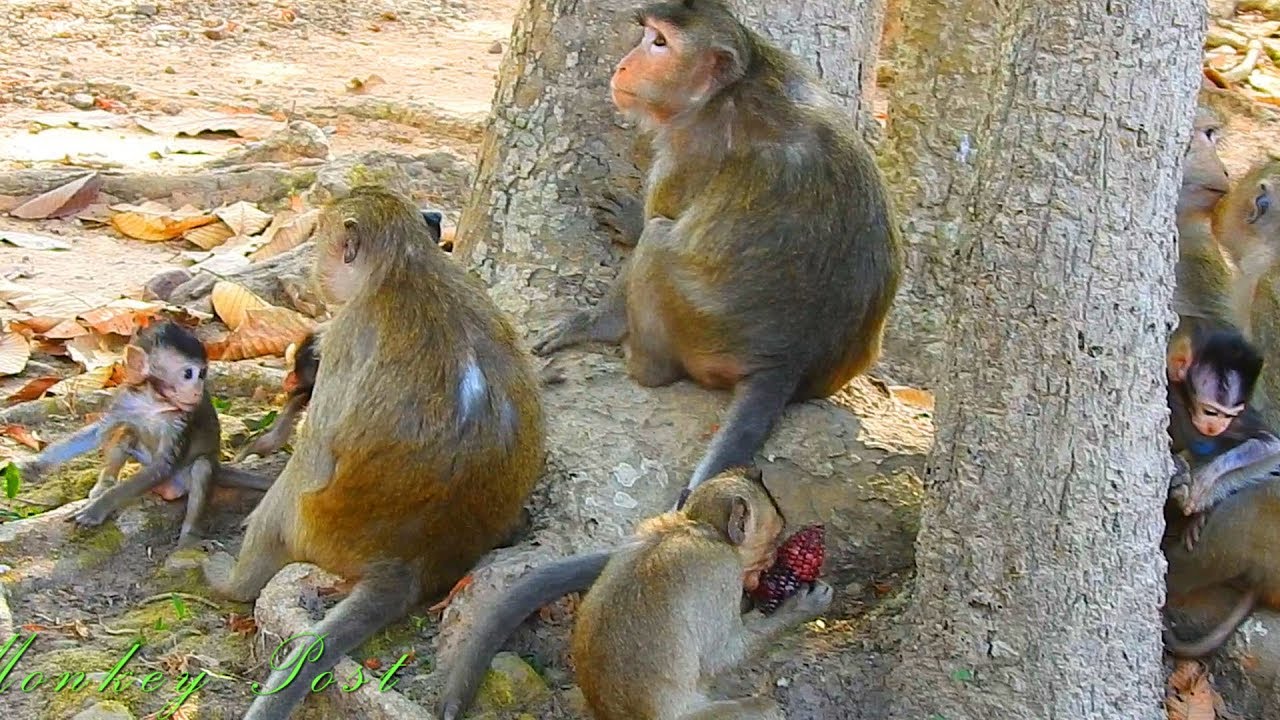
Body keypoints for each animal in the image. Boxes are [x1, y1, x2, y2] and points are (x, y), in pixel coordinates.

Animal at [18, 321, 274, 547]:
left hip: (183, 479)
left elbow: (163, 465)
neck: (155, 401)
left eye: (202, 373)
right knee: (126, 434)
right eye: (188, 374)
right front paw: (35, 465)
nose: (197, 389)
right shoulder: (126, 399)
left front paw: (99, 508)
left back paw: (188, 539)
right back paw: (104, 484)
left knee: (201, 467)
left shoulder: (182, 419)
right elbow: (99, 432)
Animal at [202, 186, 545, 720]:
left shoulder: (346, 331)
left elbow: (315, 451)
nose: (317, 272)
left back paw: (232, 581)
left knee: (287, 499)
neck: (407, 266)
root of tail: (409, 563)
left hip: (316, 529)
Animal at [437, 467, 832, 720]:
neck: (697, 527)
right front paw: (801, 606)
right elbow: (722, 656)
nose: (771, 566)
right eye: (773, 542)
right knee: (762, 709)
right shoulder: (720, 572)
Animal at [529, 0, 903, 509]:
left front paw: (594, 314)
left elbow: (657, 220)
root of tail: (786, 364)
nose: (624, 64)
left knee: (659, 244)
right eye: (647, 35)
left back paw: (639, 357)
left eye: (660, 43)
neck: (733, 86)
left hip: (700, 331)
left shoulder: (689, 148)